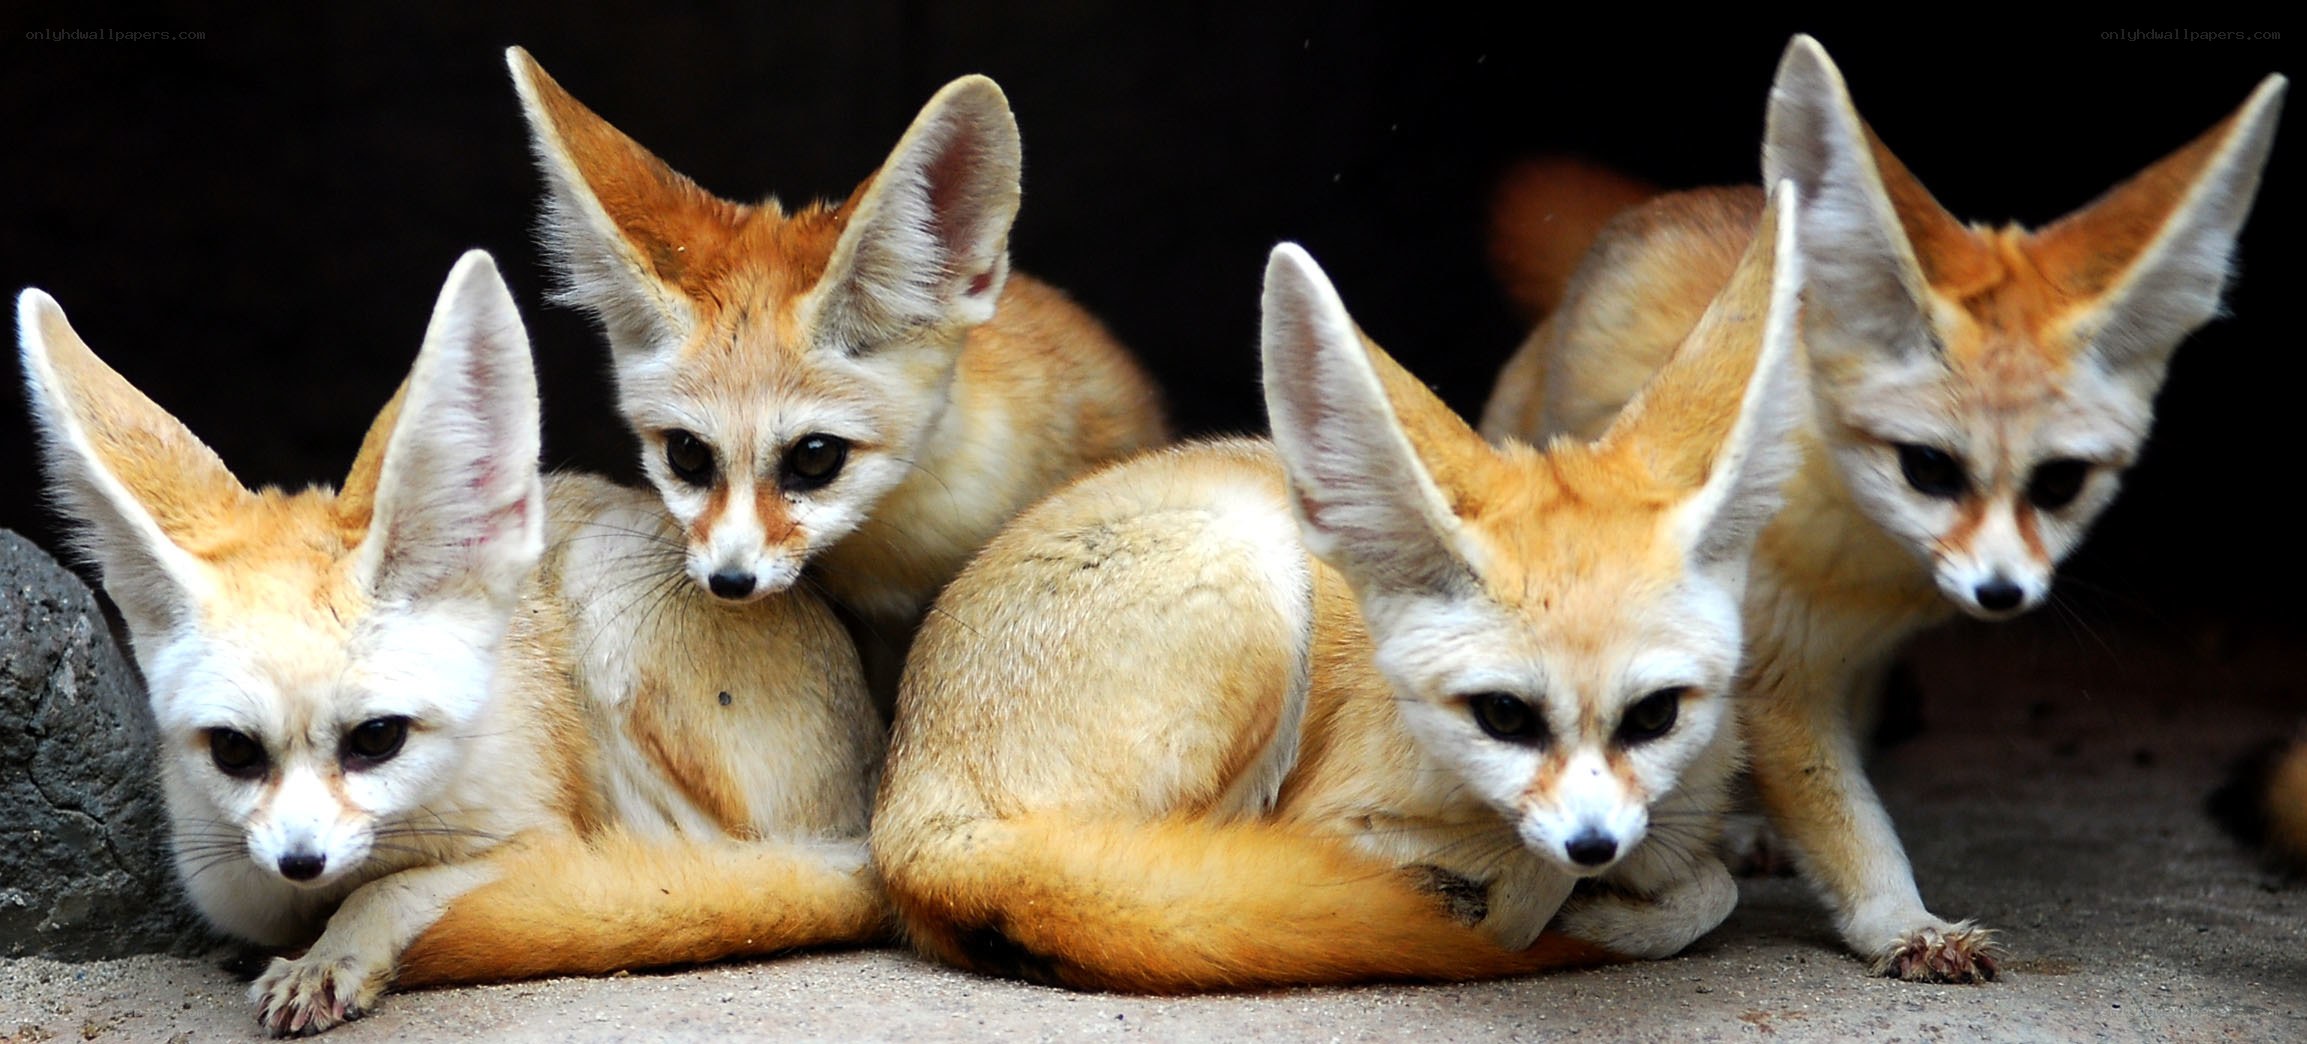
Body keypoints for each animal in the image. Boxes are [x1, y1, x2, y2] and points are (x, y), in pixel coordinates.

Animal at [18, 251, 885, 1035]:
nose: (301, 861)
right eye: (234, 751)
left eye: (377, 739)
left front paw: (336, 951)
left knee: (733, 878)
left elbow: (401, 888)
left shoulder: (539, 837)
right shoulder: (234, 881)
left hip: (611, 606)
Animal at [872, 181, 1804, 991]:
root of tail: (908, 812)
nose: (1593, 846)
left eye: (1654, 716)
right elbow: (1536, 888)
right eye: (1503, 715)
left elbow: (1708, 886)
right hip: (1254, 582)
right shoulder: (1331, 817)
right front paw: (1559, 913)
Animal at [1480, 35, 2286, 982]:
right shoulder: (1768, 676)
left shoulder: (1835, 669)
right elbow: (1843, 820)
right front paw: (1901, 921)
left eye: (2058, 483)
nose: (2001, 593)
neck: (1866, 574)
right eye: (1927, 468)